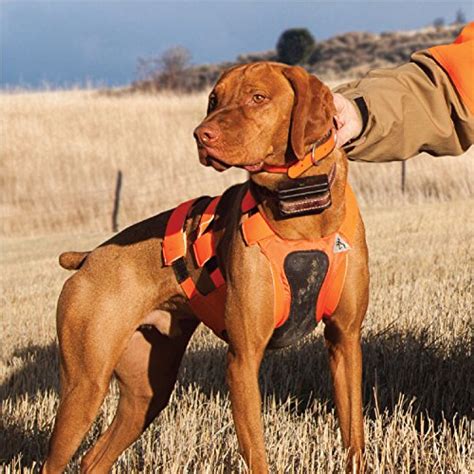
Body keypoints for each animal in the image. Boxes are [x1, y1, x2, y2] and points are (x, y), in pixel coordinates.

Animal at [43, 62, 370, 470]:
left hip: (146, 393)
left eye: (258, 97)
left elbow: (354, 436)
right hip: (84, 383)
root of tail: (88, 257)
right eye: (214, 100)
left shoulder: (345, 340)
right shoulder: (243, 358)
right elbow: (256, 453)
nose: (201, 135)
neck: (301, 212)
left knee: (93, 459)